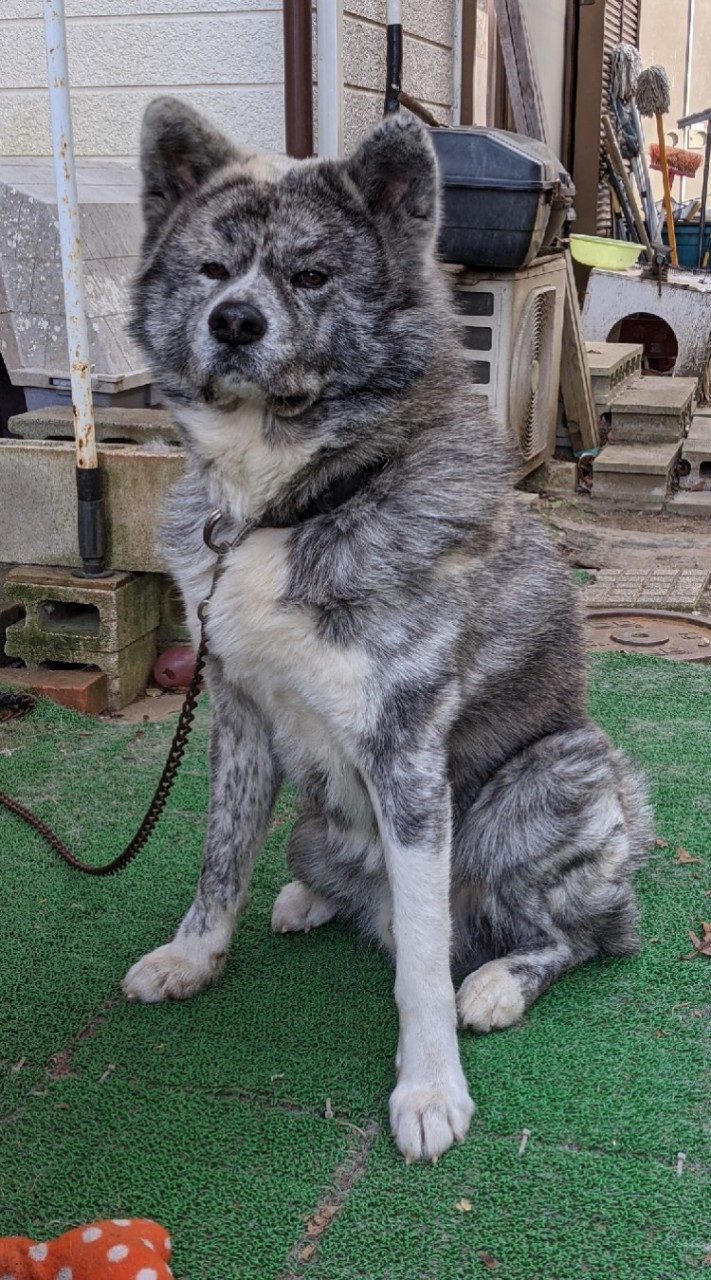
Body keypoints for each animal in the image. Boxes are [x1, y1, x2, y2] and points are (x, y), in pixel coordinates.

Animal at [122, 99, 650, 1162]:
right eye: (211, 269)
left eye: (311, 276)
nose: (231, 321)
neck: (284, 504)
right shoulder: (237, 716)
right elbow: (218, 860)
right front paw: (193, 958)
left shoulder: (407, 753)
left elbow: (419, 967)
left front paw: (429, 1090)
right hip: (318, 826)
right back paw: (311, 898)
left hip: (548, 778)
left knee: (587, 934)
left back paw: (496, 982)